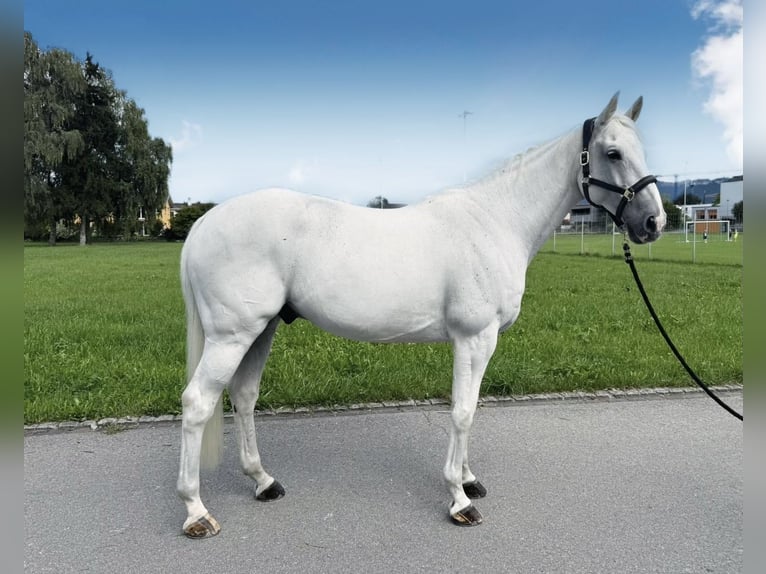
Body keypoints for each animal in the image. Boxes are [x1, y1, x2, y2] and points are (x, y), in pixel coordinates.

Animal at [176, 92, 666, 537]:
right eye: (612, 153)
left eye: (640, 149)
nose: (654, 223)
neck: (497, 221)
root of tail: (203, 223)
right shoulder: (475, 338)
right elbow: (463, 412)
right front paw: (460, 499)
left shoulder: (480, 343)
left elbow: (471, 408)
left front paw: (469, 479)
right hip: (232, 336)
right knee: (197, 403)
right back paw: (196, 511)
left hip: (261, 330)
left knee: (243, 397)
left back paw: (263, 482)